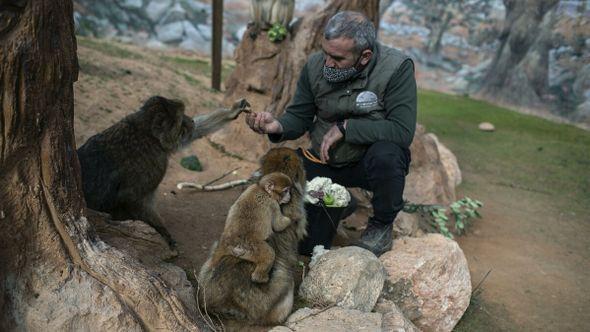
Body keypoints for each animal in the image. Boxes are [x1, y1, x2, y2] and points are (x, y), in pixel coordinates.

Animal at [247, 9, 418, 254]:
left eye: (337, 58)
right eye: (327, 55)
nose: (328, 64)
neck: (357, 73)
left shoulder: (403, 73)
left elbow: (400, 125)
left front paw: (337, 132)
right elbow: (300, 114)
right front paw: (267, 123)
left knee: (386, 153)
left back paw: (376, 233)